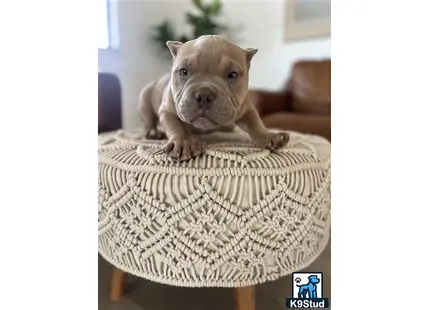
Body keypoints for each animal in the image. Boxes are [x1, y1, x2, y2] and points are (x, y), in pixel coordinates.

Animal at [139, 35, 288, 161]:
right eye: (183, 71)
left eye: (233, 75)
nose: (204, 94)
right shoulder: (167, 110)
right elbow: (175, 126)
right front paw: (183, 143)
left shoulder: (245, 108)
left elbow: (255, 122)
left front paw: (268, 135)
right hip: (145, 97)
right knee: (149, 120)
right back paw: (153, 132)